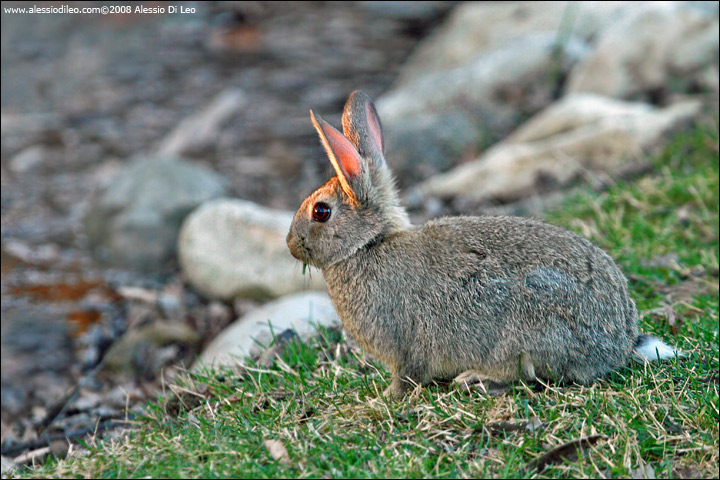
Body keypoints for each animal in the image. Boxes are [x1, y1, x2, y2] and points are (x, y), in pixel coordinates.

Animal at [286, 90, 680, 398]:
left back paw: (475, 378)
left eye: (321, 212)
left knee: (526, 375)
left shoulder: (404, 345)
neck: (369, 244)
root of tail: (618, 346)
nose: (290, 244)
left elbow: (408, 375)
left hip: (532, 324)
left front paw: (388, 397)